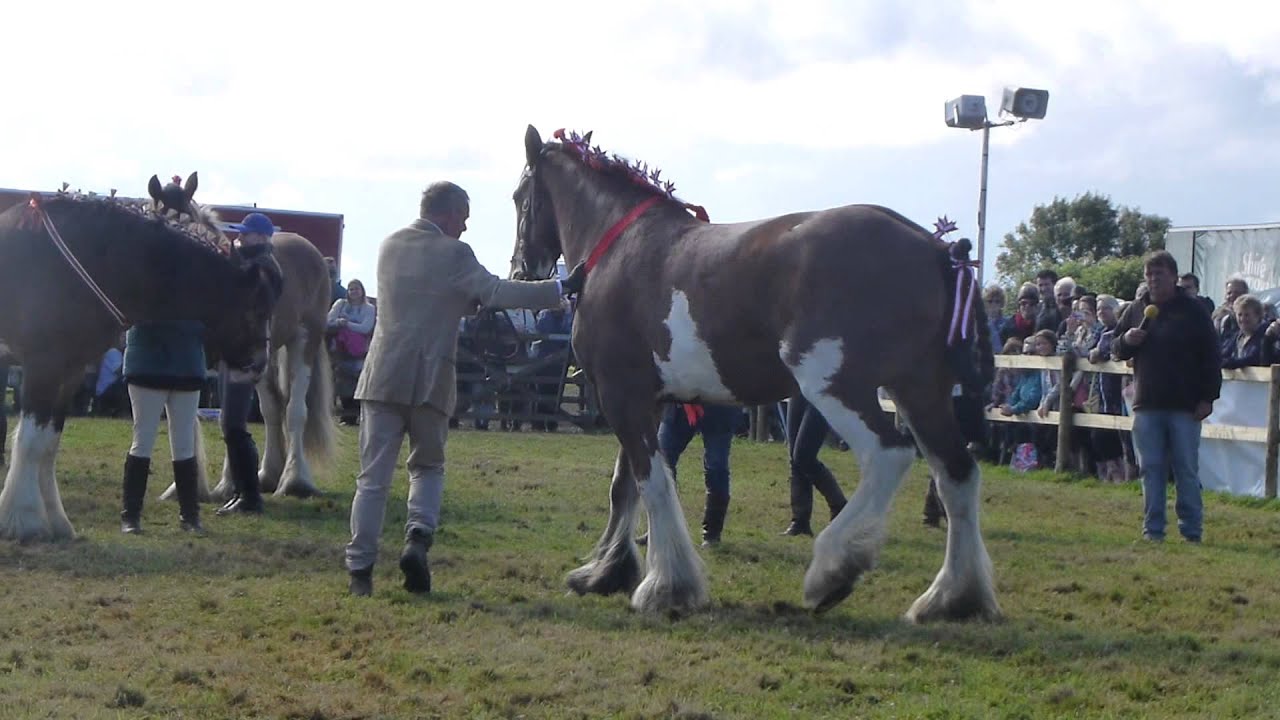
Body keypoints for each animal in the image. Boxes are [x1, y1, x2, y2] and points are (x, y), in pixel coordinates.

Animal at [0, 173, 279, 542]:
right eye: (255, 309)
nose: (258, 364)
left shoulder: (69, 370)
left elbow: (49, 443)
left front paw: (57, 522)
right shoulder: (42, 366)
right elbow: (31, 441)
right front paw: (25, 520)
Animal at [512, 126, 998, 623]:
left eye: (519, 198)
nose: (521, 268)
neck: (619, 248)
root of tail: (935, 247)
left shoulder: (621, 395)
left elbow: (652, 483)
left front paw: (665, 586)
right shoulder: (645, 399)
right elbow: (624, 487)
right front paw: (604, 572)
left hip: (837, 388)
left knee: (890, 455)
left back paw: (833, 571)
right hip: (920, 390)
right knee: (956, 473)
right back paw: (951, 597)